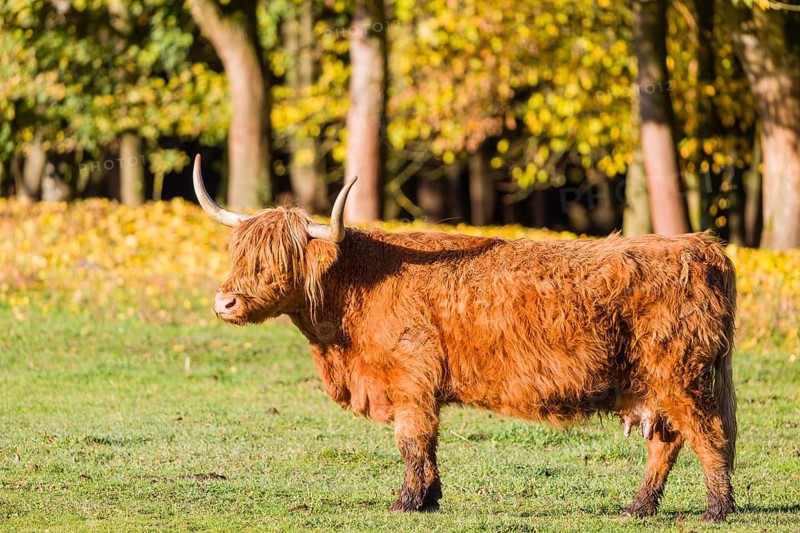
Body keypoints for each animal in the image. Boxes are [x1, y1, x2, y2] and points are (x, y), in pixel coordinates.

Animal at [192, 155, 737, 522]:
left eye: (277, 261)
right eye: (238, 253)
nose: (225, 303)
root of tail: (700, 246)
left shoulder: (411, 382)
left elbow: (412, 441)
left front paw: (406, 502)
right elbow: (427, 446)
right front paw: (430, 499)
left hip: (681, 376)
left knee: (709, 434)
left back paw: (716, 509)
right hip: (654, 386)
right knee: (666, 443)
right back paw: (638, 508)